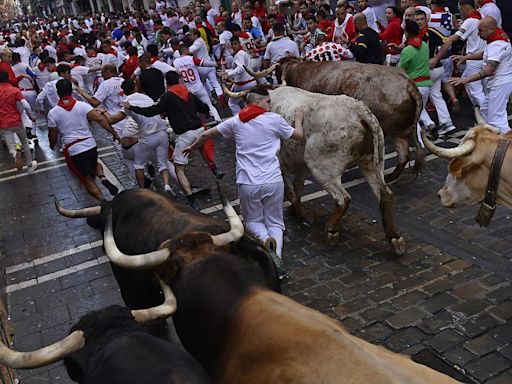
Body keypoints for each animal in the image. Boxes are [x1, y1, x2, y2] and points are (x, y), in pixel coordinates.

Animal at [244, 56, 424, 185]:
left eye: (276, 72)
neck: (299, 71)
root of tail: (408, 84)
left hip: (389, 130)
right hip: (401, 132)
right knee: (403, 155)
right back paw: (392, 176)